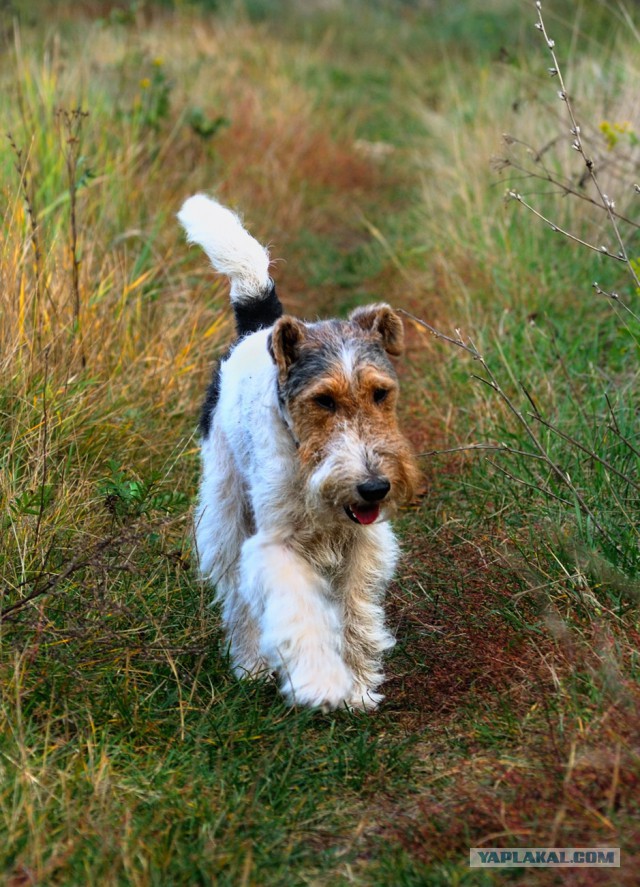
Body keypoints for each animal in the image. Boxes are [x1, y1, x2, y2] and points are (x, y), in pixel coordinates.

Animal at [178, 198, 418, 712]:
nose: (374, 487)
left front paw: (359, 689)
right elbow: (300, 612)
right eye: (323, 400)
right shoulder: (278, 543)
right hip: (226, 507)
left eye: (381, 393)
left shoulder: (363, 543)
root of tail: (258, 328)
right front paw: (321, 682)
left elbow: (355, 614)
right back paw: (250, 666)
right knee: (237, 597)